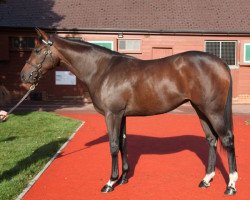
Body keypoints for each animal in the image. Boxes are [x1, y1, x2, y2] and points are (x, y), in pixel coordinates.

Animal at [20, 28, 237, 195]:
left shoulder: (112, 114)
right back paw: (206, 179)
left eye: (37, 50)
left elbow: (114, 145)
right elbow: (123, 142)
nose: (24, 76)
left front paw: (110, 182)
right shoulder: (121, 115)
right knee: (211, 139)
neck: (102, 70)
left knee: (226, 139)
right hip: (201, 110)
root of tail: (221, 63)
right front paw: (124, 177)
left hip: (213, 111)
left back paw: (231, 185)